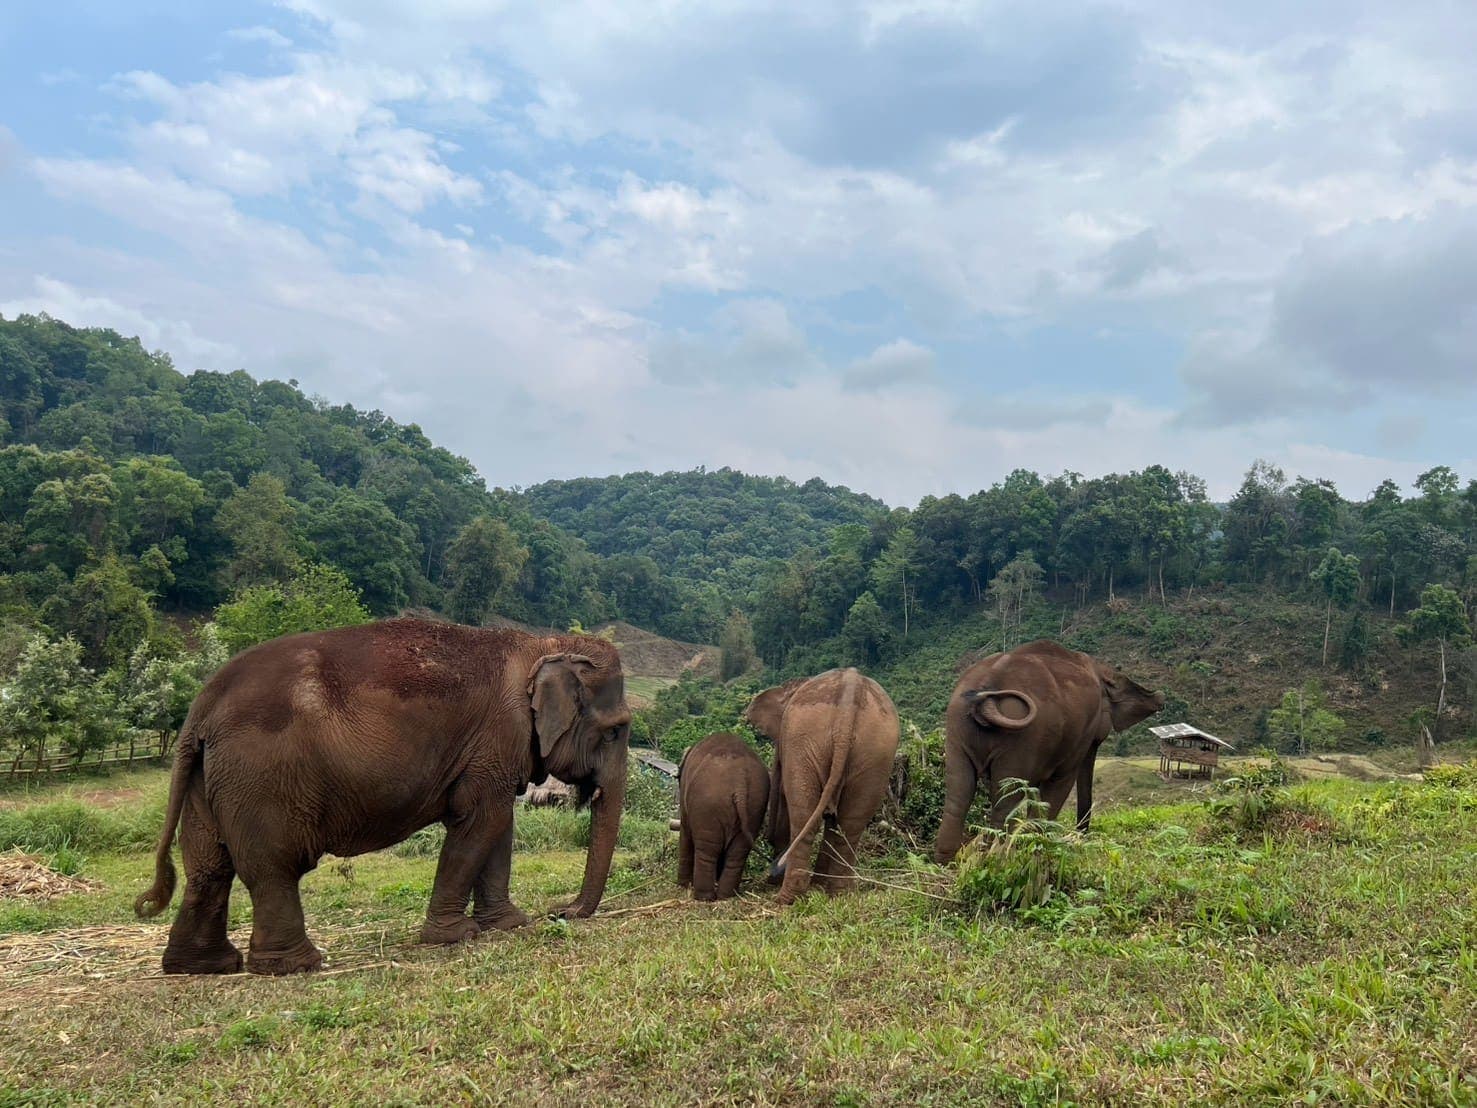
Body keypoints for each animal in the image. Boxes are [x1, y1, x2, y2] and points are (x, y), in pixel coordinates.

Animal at [134, 617, 631, 975]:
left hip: (209, 777)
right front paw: (455, 936)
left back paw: (203, 967)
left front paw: (509, 925)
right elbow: (481, 821)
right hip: (260, 779)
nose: (559, 911)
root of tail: (200, 709)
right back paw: (297, 966)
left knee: (209, 867)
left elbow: (498, 826)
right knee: (272, 866)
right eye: (616, 731)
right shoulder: (497, 736)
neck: (539, 643)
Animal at [674, 733, 769, 901]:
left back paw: (703, 897)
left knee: (707, 850)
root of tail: (739, 781)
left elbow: (685, 833)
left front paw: (683, 885)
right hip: (755, 805)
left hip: (708, 805)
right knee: (738, 853)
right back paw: (726, 896)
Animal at [744, 669, 900, 905]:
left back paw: (786, 899)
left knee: (803, 816)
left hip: (806, 742)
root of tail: (851, 688)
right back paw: (839, 895)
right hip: (875, 753)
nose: (770, 875)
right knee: (849, 825)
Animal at [932, 639, 1164, 863]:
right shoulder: (1079, 735)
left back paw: (947, 860)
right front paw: (1038, 844)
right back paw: (993, 857)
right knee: (1004, 799)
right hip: (1021, 738)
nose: (1080, 835)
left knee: (958, 793)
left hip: (956, 728)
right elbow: (1060, 782)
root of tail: (984, 696)